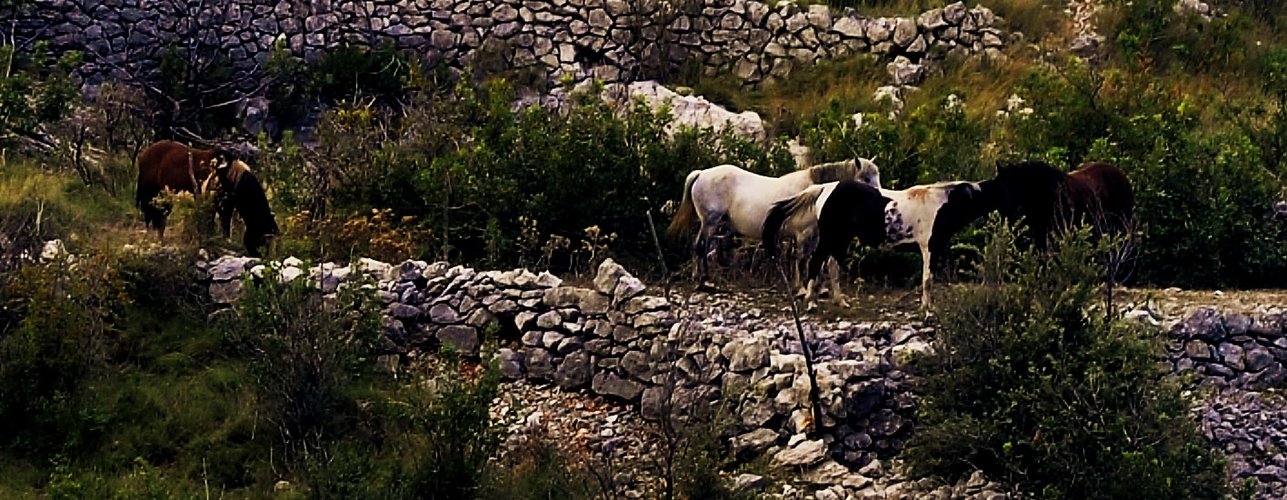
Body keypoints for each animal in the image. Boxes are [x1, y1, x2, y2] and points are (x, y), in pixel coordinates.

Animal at [134, 140, 277, 257]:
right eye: (262, 238)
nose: (262, 256)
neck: (232, 177)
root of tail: (143, 155)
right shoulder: (213, 204)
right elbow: (210, 227)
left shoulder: (227, 207)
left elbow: (225, 228)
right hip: (149, 195)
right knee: (150, 218)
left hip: (164, 198)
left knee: (160, 219)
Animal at [664, 158, 885, 290]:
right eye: (866, 178)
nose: (881, 199)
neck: (815, 192)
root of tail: (701, 173)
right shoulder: (802, 234)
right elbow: (801, 258)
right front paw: (800, 286)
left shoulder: (812, 235)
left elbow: (812, 258)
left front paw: (817, 287)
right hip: (710, 223)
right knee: (701, 247)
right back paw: (704, 280)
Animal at [983, 160, 1137, 248]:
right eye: (996, 184)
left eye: (1007, 186)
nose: (1003, 213)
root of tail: (1124, 177)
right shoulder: (1039, 235)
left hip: (1123, 225)